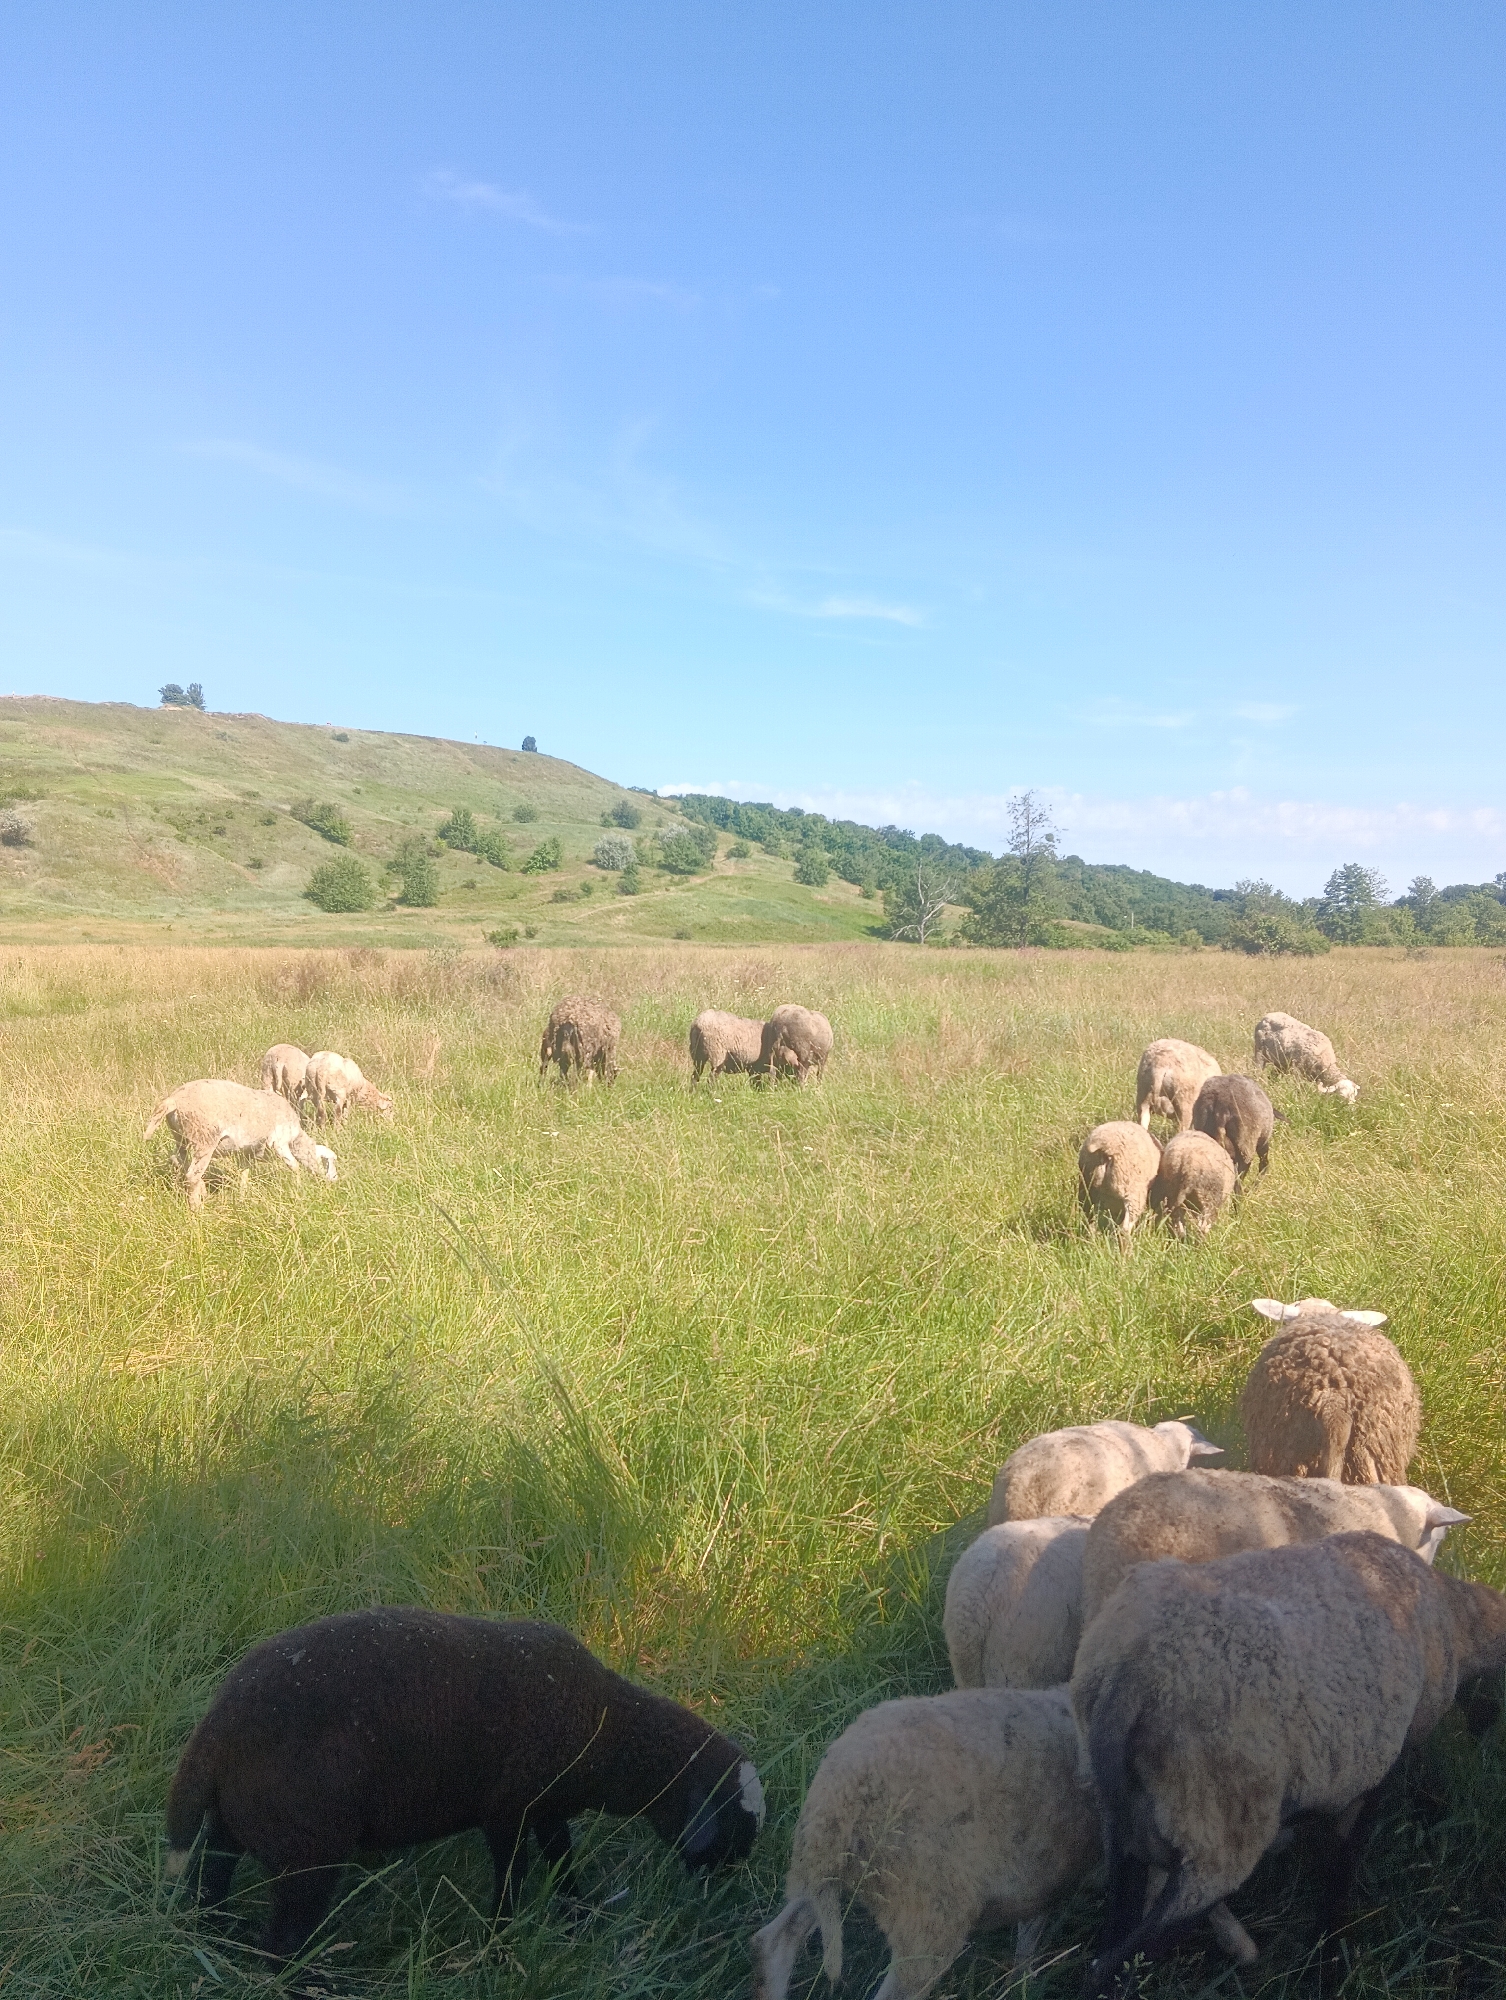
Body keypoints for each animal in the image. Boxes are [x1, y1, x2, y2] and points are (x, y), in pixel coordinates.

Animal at [144, 1080, 337, 1209]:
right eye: (329, 1162)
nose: (334, 1182)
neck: (296, 1137)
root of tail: (173, 1100)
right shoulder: (279, 1142)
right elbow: (294, 1166)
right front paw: (298, 1189)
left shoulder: (247, 1151)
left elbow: (244, 1172)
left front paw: (242, 1196)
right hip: (205, 1138)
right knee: (192, 1174)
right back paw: (197, 1208)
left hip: (181, 1137)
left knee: (178, 1160)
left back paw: (202, 1190)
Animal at [165, 1608, 763, 1960]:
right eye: (734, 1825)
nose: (722, 1891)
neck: (607, 1732)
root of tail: (216, 1729)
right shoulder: (509, 1811)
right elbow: (513, 1875)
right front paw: (500, 1939)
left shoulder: (544, 1807)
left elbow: (561, 1858)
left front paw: (580, 1912)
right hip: (307, 1849)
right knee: (282, 1945)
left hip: (236, 1823)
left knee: (210, 1882)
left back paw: (211, 1939)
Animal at [750, 1685, 1101, 1999]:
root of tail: (841, 1792)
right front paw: (1024, 1982)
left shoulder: (1046, 1868)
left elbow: (1031, 1927)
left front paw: (1021, 1981)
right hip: (929, 1908)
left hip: (823, 1868)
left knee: (775, 1940)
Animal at [1072, 1533, 1506, 1993]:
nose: (1485, 1737)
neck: (1454, 1622)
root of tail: (1129, 1675)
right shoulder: (1380, 1761)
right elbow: (1345, 1855)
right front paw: (1328, 1956)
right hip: (1219, 1817)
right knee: (1120, 1959)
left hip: (1122, 1814)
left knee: (1119, 1919)